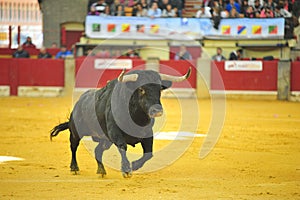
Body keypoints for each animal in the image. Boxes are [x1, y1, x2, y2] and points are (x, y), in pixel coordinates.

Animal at [49, 69, 190, 178]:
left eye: (160, 89)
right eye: (141, 89)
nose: (157, 111)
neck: (135, 117)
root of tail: (79, 102)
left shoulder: (147, 134)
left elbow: (148, 154)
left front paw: (134, 165)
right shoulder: (115, 133)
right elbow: (123, 147)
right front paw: (126, 170)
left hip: (105, 140)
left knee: (98, 150)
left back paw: (101, 170)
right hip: (76, 132)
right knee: (73, 146)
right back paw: (74, 168)